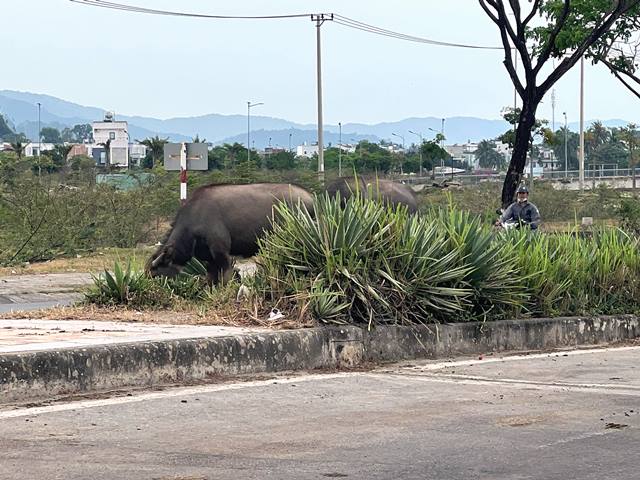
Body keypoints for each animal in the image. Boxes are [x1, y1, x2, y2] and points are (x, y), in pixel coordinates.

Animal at [146, 183, 316, 282]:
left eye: (154, 274)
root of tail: (310, 198)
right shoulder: (209, 259)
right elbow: (211, 280)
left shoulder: (222, 254)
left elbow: (225, 279)